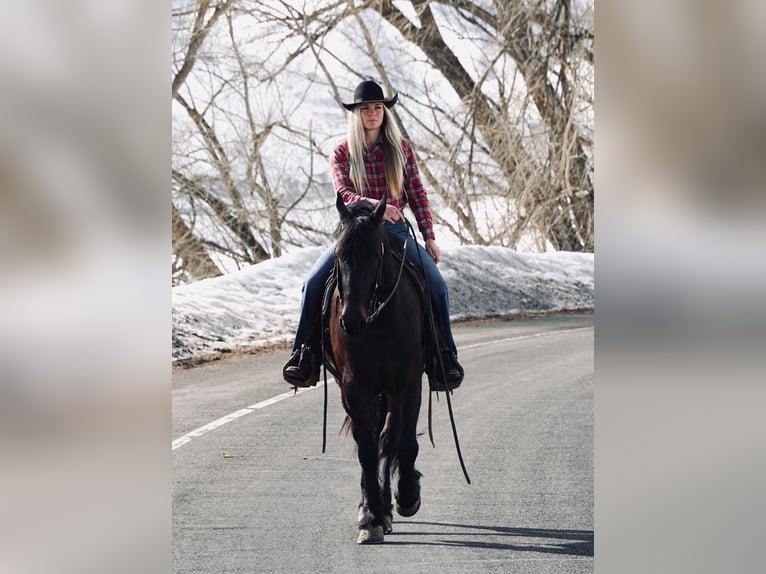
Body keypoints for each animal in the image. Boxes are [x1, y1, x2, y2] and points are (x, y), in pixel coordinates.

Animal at [328, 194, 426, 544]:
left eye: (375, 253)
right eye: (338, 254)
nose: (350, 320)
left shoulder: (408, 383)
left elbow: (403, 444)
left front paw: (407, 497)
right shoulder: (354, 388)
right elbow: (367, 451)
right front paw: (370, 519)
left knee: (388, 438)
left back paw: (389, 506)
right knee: (369, 440)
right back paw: (374, 510)